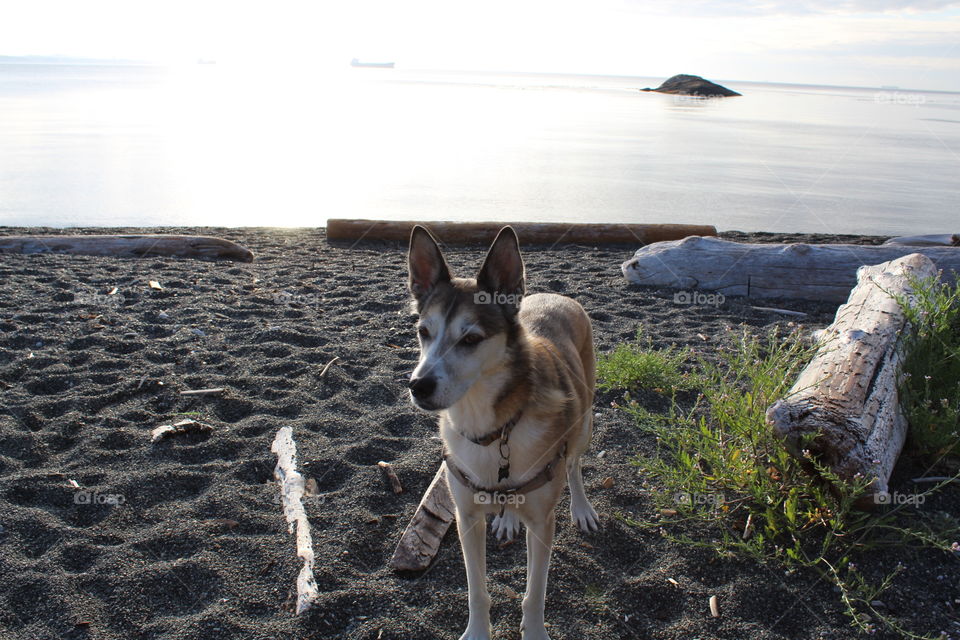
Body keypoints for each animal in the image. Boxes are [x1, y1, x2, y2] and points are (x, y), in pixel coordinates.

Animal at [406, 226, 600, 640]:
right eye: (423, 332)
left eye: (471, 339)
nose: (418, 386)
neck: (492, 430)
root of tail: (556, 296)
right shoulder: (466, 517)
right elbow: (477, 590)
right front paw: (478, 630)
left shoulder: (543, 522)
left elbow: (534, 594)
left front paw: (535, 631)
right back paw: (508, 515)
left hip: (584, 424)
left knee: (574, 466)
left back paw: (581, 507)